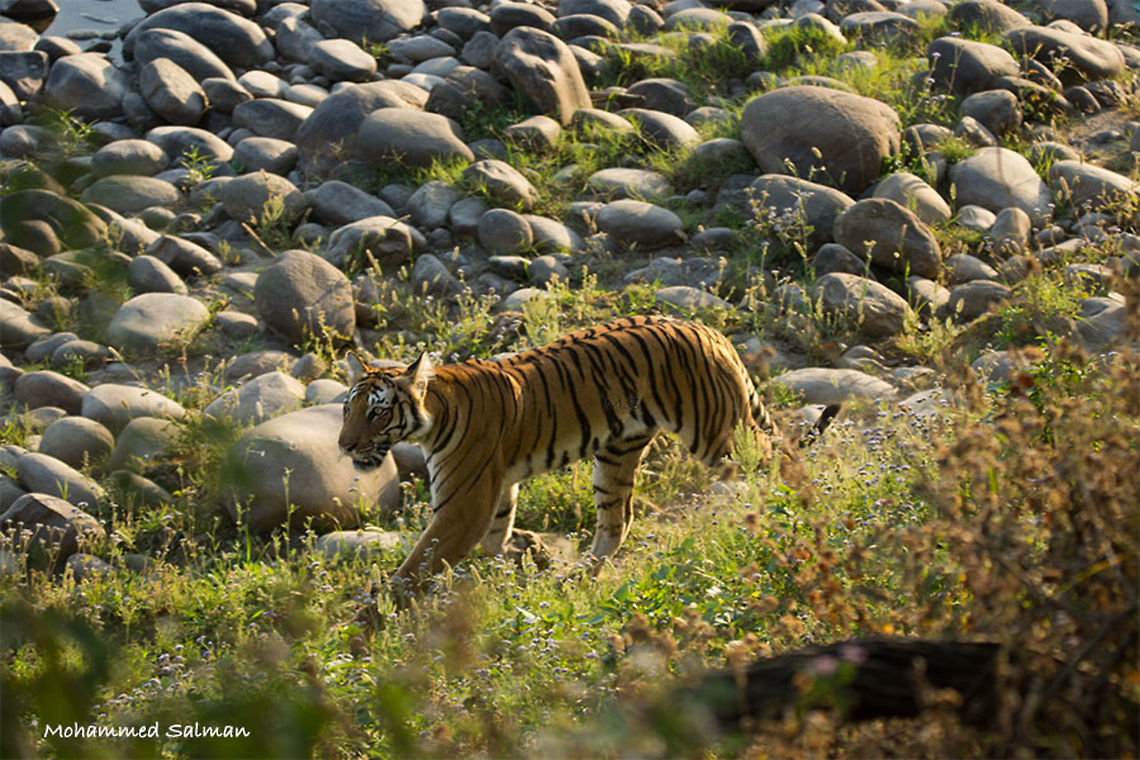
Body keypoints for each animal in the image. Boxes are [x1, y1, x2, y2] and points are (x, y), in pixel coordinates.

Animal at [338, 315, 835, 593]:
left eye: (378, 412)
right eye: (348, 409)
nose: (344, 446)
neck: (434, 414)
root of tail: (708, 329)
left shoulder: (464, 505)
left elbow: (416, 565)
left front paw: (373, 619)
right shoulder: (497, 490)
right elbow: (498, 539)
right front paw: (532, 551)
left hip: (719, 433)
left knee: (781, 459)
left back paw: (804, 509)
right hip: (616, 455)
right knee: (617, 523)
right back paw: (574, 578)